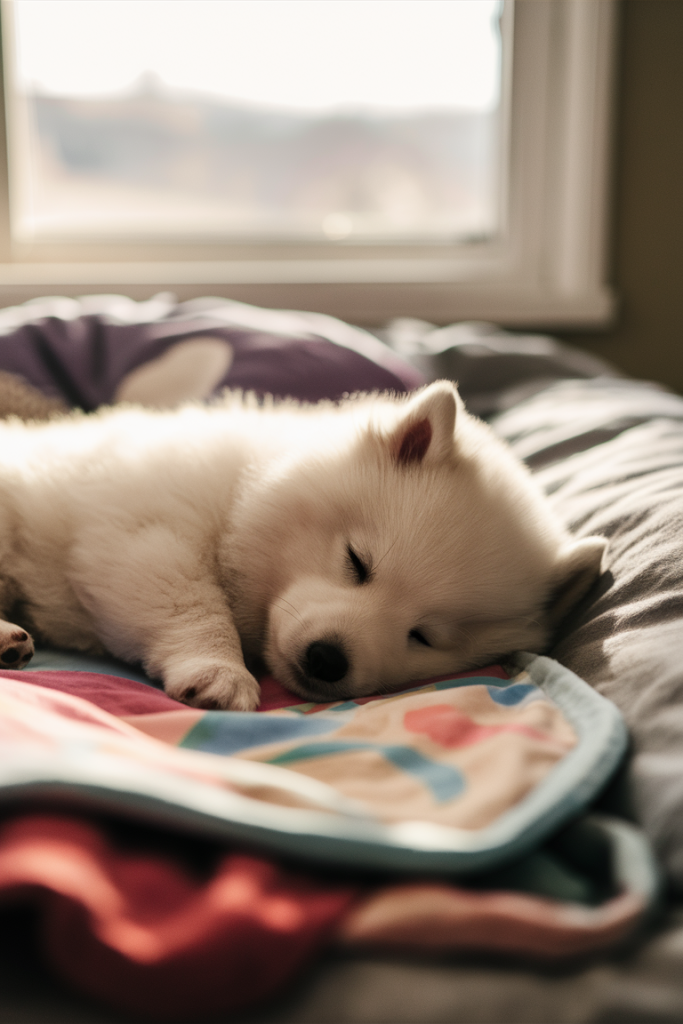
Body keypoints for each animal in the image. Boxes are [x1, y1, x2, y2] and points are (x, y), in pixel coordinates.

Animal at [0, 380, 602, 708]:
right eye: (357, 562)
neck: (240, 493)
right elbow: (192, 604)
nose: (328, 659)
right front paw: (220, 672)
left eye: (423, 636)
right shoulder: (144, 531)